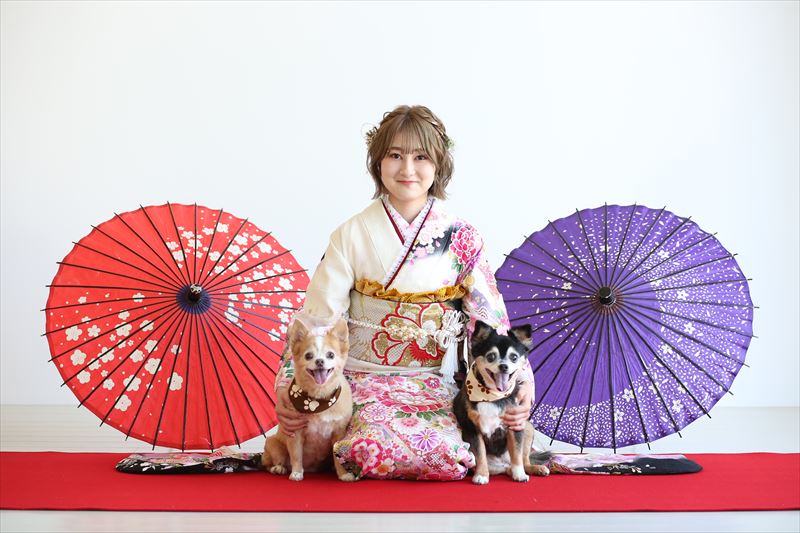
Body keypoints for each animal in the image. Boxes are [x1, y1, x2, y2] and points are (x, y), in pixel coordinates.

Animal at [262, 318, 355, 482]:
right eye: (308, 356)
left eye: (330, 355)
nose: (319, 361)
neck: (317, 399)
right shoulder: (295, 433)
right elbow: (296, 455)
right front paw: (297, 473)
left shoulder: (338, 433)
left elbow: (338, 457)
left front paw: (343, 474)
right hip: (272, 443)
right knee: (271, 463)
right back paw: (278, 468)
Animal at [453, 320, 550, 484]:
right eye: (491, 356)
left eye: (514, 357)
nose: (504, 366)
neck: (492, 395)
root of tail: (503, 465)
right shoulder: (472, 429)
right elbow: (480, 454)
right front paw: (481, 475)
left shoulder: (515, 426)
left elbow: (516, 454)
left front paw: (520, 474)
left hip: (527, 427)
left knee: (524, 459)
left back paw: (534, 469)